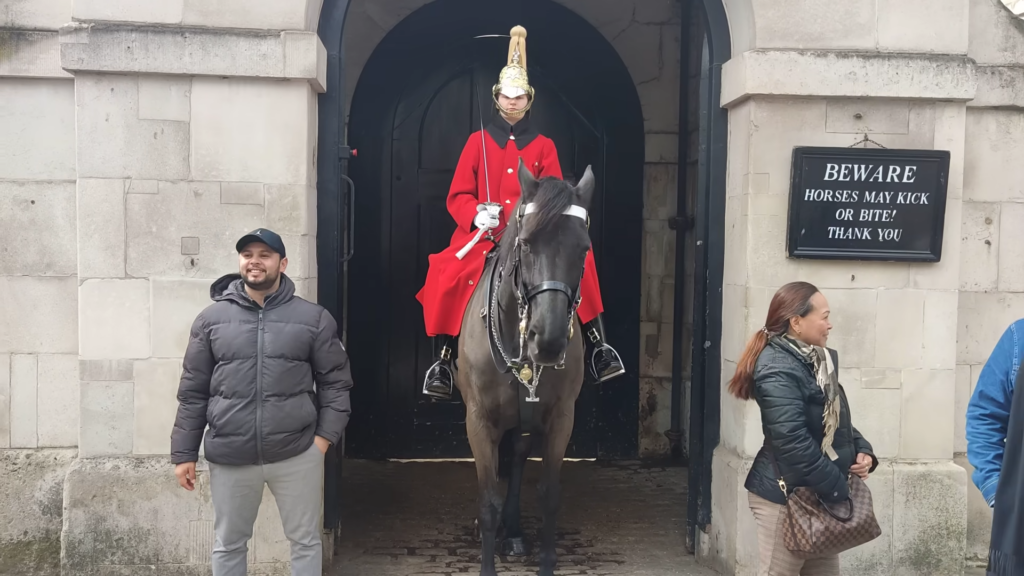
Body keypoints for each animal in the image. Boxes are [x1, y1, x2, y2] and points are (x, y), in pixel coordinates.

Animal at [455, 158, 594, 576]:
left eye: (584, 248)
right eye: (527, 242)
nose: (547, 341)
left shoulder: (561, 417)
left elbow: (548, 495)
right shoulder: (478, 420)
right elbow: (487, 500)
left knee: (516, 457)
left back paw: (514, 532)